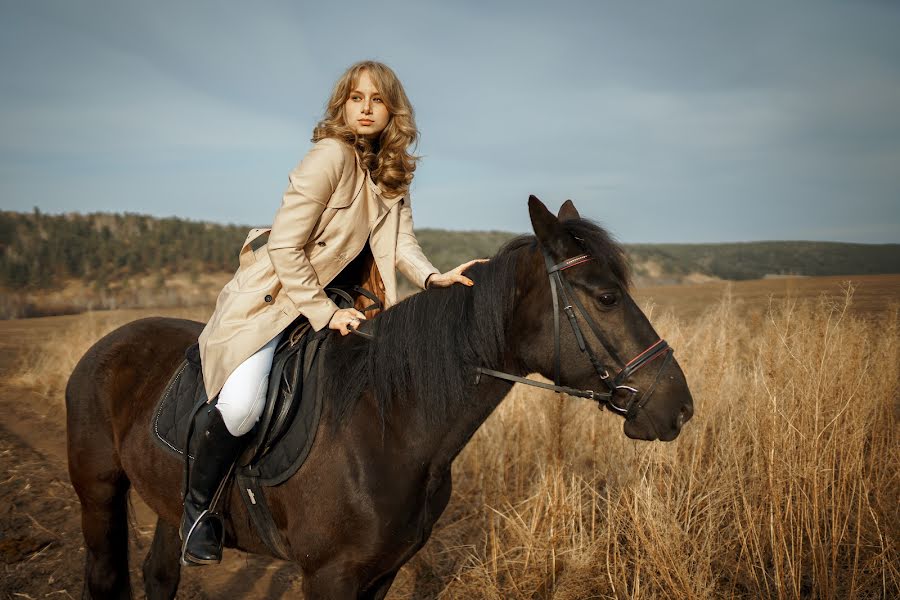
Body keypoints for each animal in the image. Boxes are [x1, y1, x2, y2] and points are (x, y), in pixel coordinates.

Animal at [67, 196, 692, 596]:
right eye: (607, 297)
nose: (680, 407)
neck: (389, 426)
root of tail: (107, 344)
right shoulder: (328, 577)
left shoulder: (384, 571)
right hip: (98, 493)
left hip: (166, 503)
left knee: (160, 574)